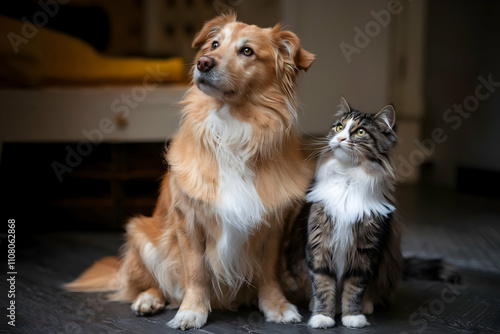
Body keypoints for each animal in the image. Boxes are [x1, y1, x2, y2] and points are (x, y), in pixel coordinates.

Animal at [304, 97, 402, 328]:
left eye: (360, 132)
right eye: (339, 127)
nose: (340, 138)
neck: (347, 178)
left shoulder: (365, 250)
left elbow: (354, 288)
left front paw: (353, 317)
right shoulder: (319, 243)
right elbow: (323, 285)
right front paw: (322, 317)